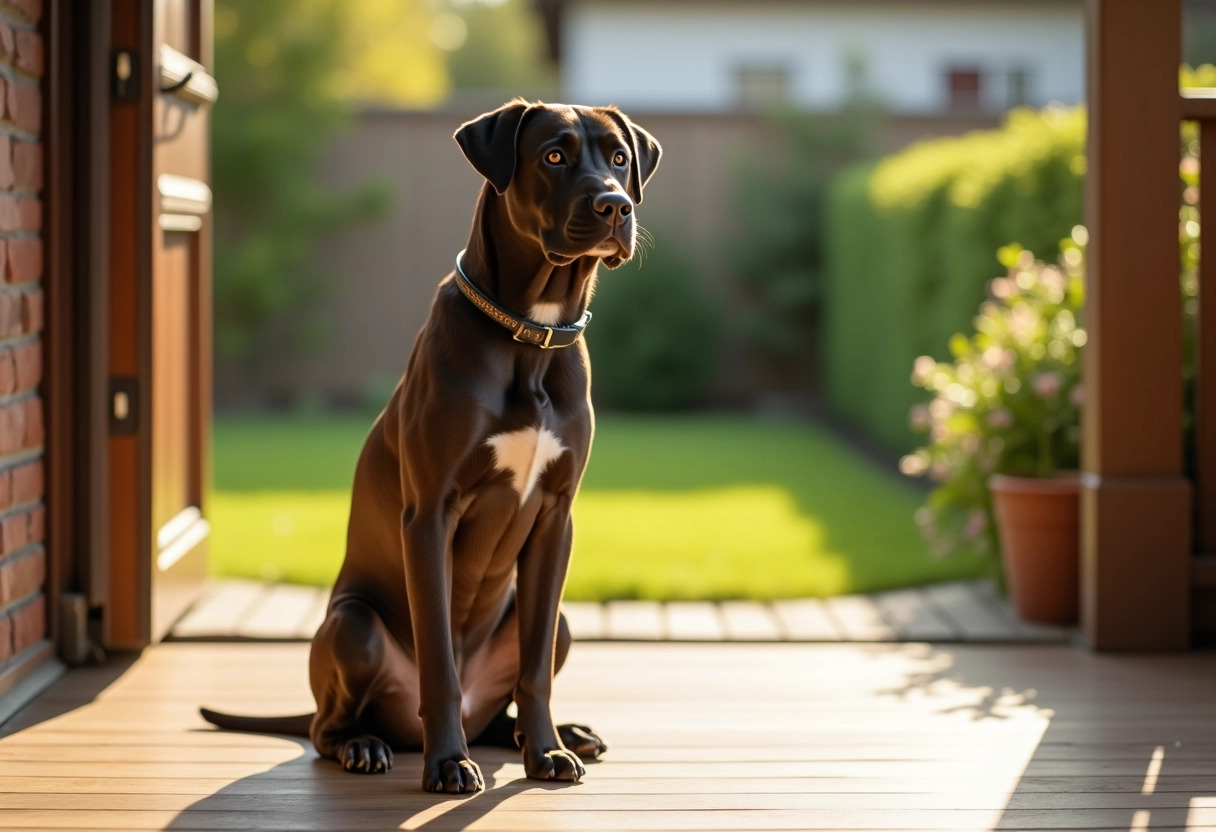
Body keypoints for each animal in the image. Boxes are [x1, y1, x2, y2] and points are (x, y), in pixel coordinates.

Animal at [199, 99, 661, 793]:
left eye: (620, 157)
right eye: (553, 155)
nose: (614, 204)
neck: (529, 334)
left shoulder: (556, 518)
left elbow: (532, 672)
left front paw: (547, 751)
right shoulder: (430, 516)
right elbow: (438, 662)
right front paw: (448, 763)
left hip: (559, 625)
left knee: (507, 701)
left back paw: (553, 733)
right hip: (354, 628)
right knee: (327, 726)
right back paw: (365, 745)